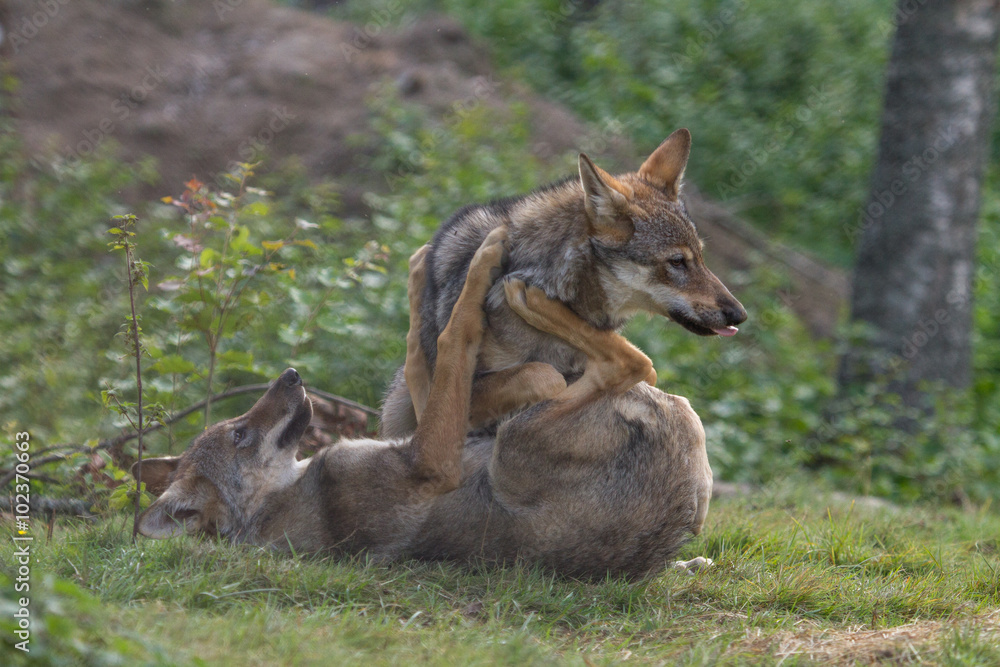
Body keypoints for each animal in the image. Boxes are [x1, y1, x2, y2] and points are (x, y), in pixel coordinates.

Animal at [133, 229, 713, 578]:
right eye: (240, 435)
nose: (291, 376)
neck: (282, 495)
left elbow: (424, 359)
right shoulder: (431, 460)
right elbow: (453, 337)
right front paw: (474, 266)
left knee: (667, 397)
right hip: (516, 439)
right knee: (626, 367)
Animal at [380, 129, 746, 437]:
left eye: (701, 257)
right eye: (677, 262)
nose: (739, 315)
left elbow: (632, 364)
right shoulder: (461, 388)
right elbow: (544, 374)